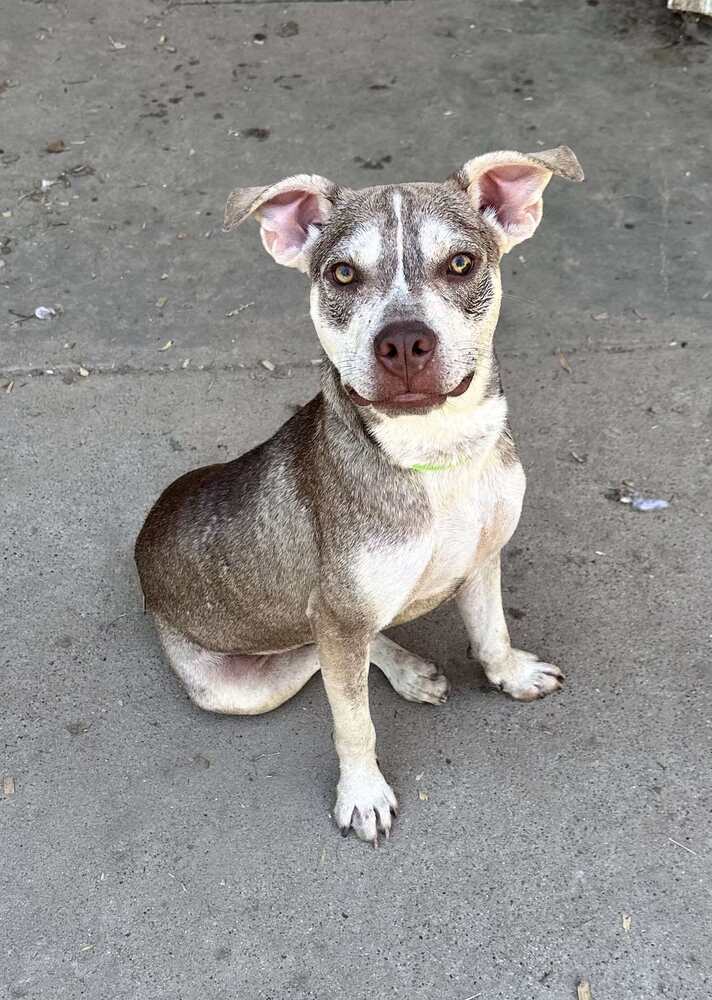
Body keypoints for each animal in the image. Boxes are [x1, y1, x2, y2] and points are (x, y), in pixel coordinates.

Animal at [135, 146, 584, 844]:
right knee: (325, 658)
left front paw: (510, 674)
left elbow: (491, 632)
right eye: (343, 274)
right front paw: (363, 794)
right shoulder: (339, 615)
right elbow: (353, 722)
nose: (402, 342)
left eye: (461, 263)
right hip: (243, 684)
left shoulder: (484, 559)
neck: (434, 454)